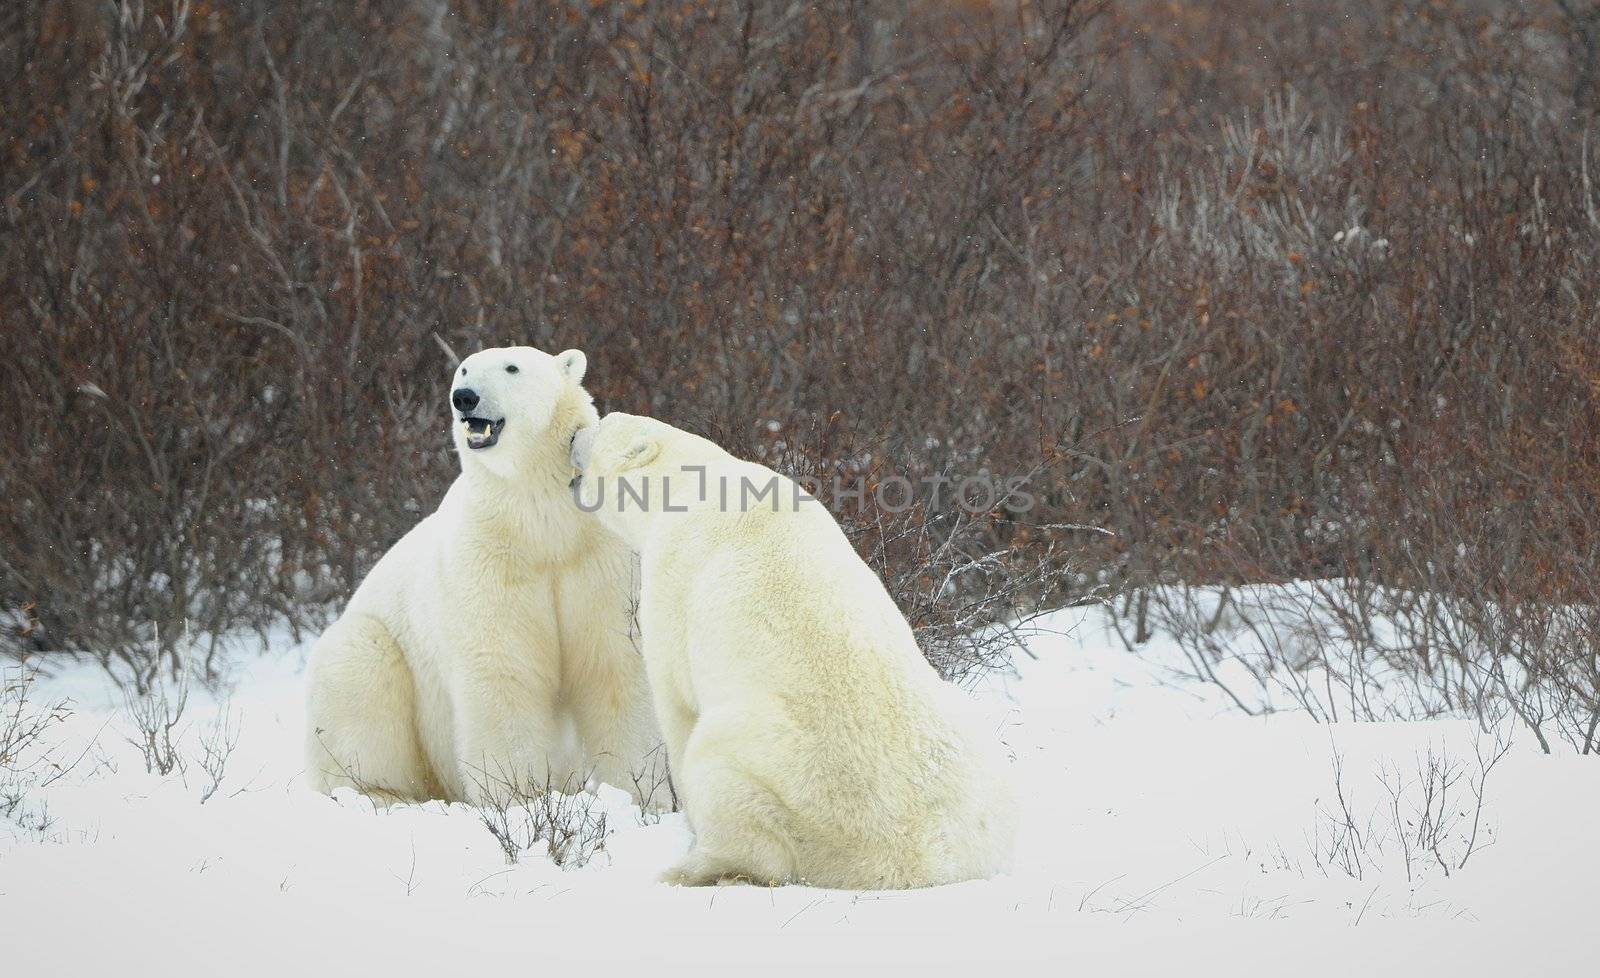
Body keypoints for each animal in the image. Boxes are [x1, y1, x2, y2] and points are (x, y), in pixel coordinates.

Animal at [302, 348, 659, 806]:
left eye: (512, 368)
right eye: (464, 369)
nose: (464, 398)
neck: (542, 524)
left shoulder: (598, 557)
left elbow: (615, 663)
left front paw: (640, 795)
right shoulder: (487, 558)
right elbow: (502, 667)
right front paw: (521, 798)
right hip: (375, 654)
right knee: (358, 676)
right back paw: (378, 794)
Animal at [569, 412, 1017, 889]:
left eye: (601, 423)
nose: (572, 435)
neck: (689, 482)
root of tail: (907, 864)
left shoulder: (672, 576)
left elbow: (676, 700)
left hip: (779, 773)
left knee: (732, 796)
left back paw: (687, 869)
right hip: (976, 756)